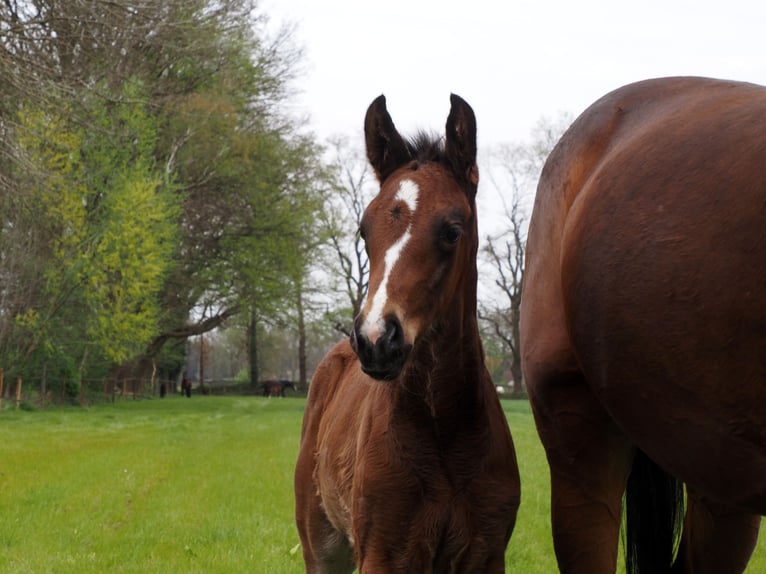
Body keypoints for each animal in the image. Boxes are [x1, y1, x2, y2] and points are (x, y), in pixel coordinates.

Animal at [294, 94, 520, 573]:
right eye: (364, 229)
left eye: (452, 230)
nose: (377, 340)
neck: (442, 432)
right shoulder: (383, 554)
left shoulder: (486, 554)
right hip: (321, 545)